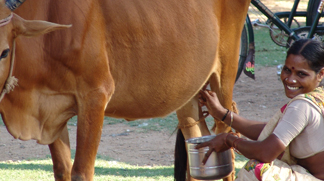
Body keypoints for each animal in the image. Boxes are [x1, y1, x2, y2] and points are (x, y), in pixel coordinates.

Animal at [0, 0, 251, 180]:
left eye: (4, 52)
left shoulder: (95, 95)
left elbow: (81, 172)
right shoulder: (50, 111)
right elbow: (62, 170)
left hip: (225, 73)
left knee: (225, 137)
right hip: (188, 90)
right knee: (195, 139)